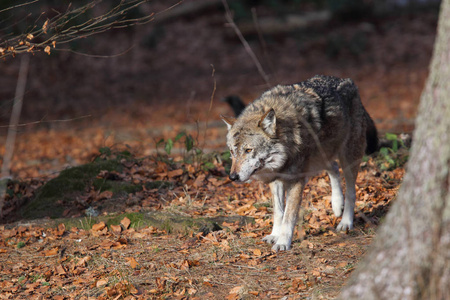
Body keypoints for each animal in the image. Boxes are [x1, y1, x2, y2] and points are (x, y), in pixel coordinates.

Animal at [221, 75, 376, 251]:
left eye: (248, 150)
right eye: (232, 152)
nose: (233, 177)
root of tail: (350, 82)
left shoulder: (296, 181)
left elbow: (289, 215)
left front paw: (283, 242)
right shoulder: (276, 180)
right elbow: (278, 212)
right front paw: (274, 235)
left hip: (348, 156)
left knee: (351, 191)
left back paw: (345, 222)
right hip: (322, 155)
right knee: (334, 169)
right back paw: (337, 205)